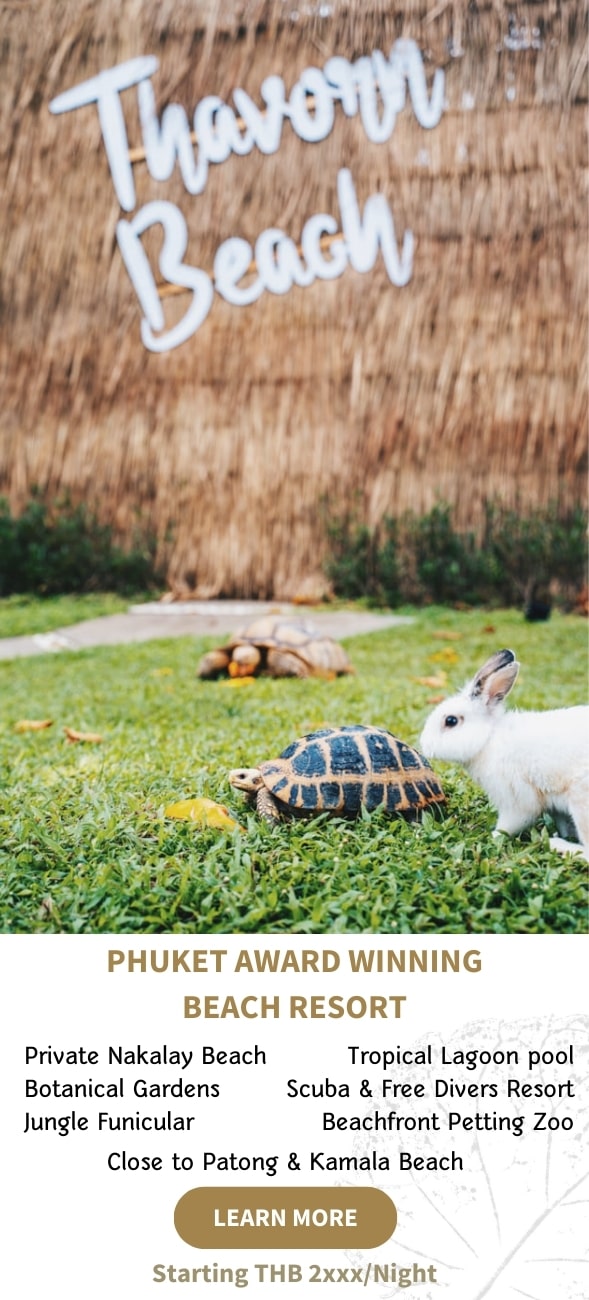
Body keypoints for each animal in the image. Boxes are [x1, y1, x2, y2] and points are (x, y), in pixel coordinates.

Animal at [418, 647, 587, 857]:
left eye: (451, 721)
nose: (424, 744)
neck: (488, 740)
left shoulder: (516, 801)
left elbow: (509, 825)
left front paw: (492, 836)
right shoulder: (554, 806)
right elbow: (561, 821)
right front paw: (561, 832)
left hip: (581, 803)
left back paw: (557, 845)